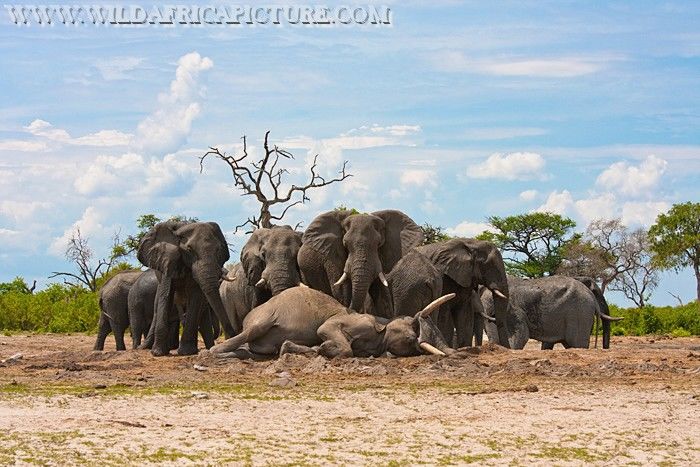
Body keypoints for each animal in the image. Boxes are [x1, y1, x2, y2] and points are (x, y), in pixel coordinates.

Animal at [138, 221, 231, 356]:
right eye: (189, 250)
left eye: (218, 250)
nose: (233, 335)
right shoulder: (167, 259)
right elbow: (166, 294)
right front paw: (158, 353)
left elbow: (195, 296)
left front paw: (187, 352)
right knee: (158, 304)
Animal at [208, 286, 454, 358]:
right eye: (412, 335)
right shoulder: (354, 320)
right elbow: (327, 331)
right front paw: (323, 347)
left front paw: (316, 348)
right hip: (264, 315)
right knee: (253, 330)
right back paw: (214, 351)